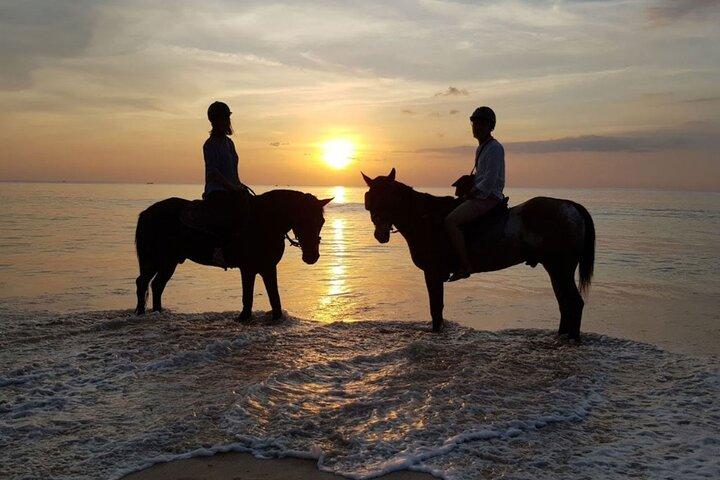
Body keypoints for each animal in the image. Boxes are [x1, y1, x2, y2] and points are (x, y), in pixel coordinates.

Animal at [134, 189, 332, 320]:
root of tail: (146, 213)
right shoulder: (248, 268)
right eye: (304, 219)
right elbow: (248, 295)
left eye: (321, 221)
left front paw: (276, 318)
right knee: (143, 282)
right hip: (154, 260)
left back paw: (158, 312)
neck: (265, 221)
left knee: (157, 285)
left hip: (169, 262)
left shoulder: (268, 267)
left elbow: (274, 296)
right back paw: (141, 313)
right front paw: (244, 318)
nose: (312, 256)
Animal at [362, 169, 595, 338]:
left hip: (560, 268)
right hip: (555, 269)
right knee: (564, 303)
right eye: (370, 201)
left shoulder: (432, 273)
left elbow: (436, 309)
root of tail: (570, 206)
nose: (380, 234)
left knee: (574, 303)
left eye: (388, 198)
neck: (426, 219)